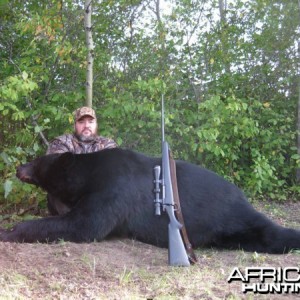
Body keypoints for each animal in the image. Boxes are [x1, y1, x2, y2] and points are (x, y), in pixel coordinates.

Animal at [0, 148, 300, 253]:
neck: (87, 173)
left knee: (271, 234)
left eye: (37, 160)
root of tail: (242, 196)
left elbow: (85, 224)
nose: (18, 167)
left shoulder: (114, 189)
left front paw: (8, 231)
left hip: (232, 214)